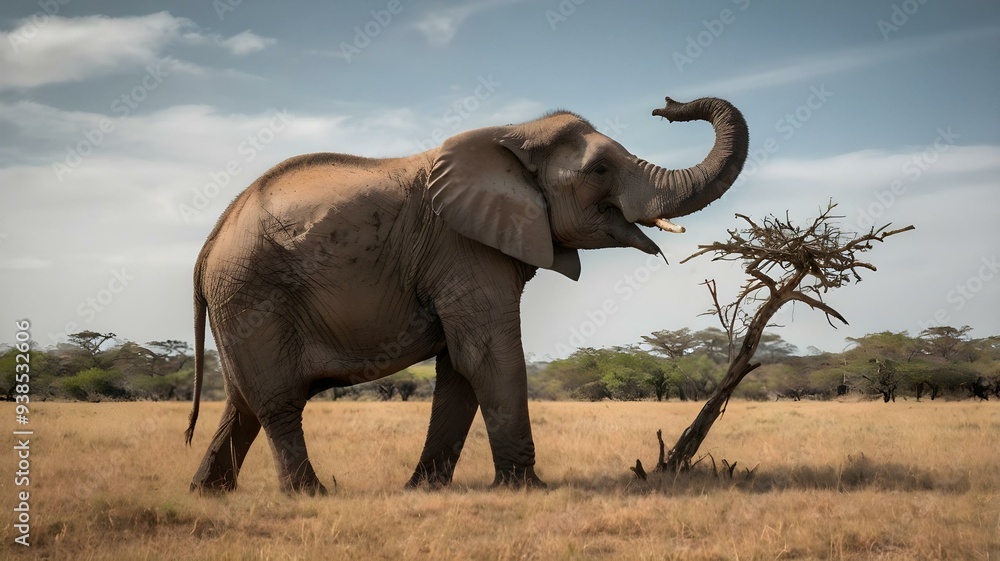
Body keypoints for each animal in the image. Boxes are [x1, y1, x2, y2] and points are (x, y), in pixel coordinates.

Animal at [185, 96, 749, 494]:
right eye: (600, 170)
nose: (666, 107)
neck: (515, 135)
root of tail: (208, 247)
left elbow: (460, 367)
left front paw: (424, 489)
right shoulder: (461, 246)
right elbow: (487, 354)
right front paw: (527, 489)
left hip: (242, 303)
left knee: (243, 403)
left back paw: (206, 494)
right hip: (254, 294)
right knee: (278, 402)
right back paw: (310, 496)